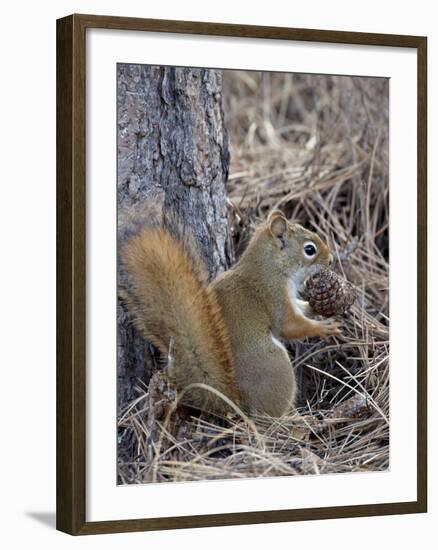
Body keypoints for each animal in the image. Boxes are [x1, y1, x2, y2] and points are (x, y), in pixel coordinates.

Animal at [121, 211, 340, 418]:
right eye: (309, 249)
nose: (331, 261)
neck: (271, 265)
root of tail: (234, 400)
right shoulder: (273, 295)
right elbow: (289, 325)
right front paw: (323, 328)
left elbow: (301, 309)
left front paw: (317, 306)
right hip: (275, 364)